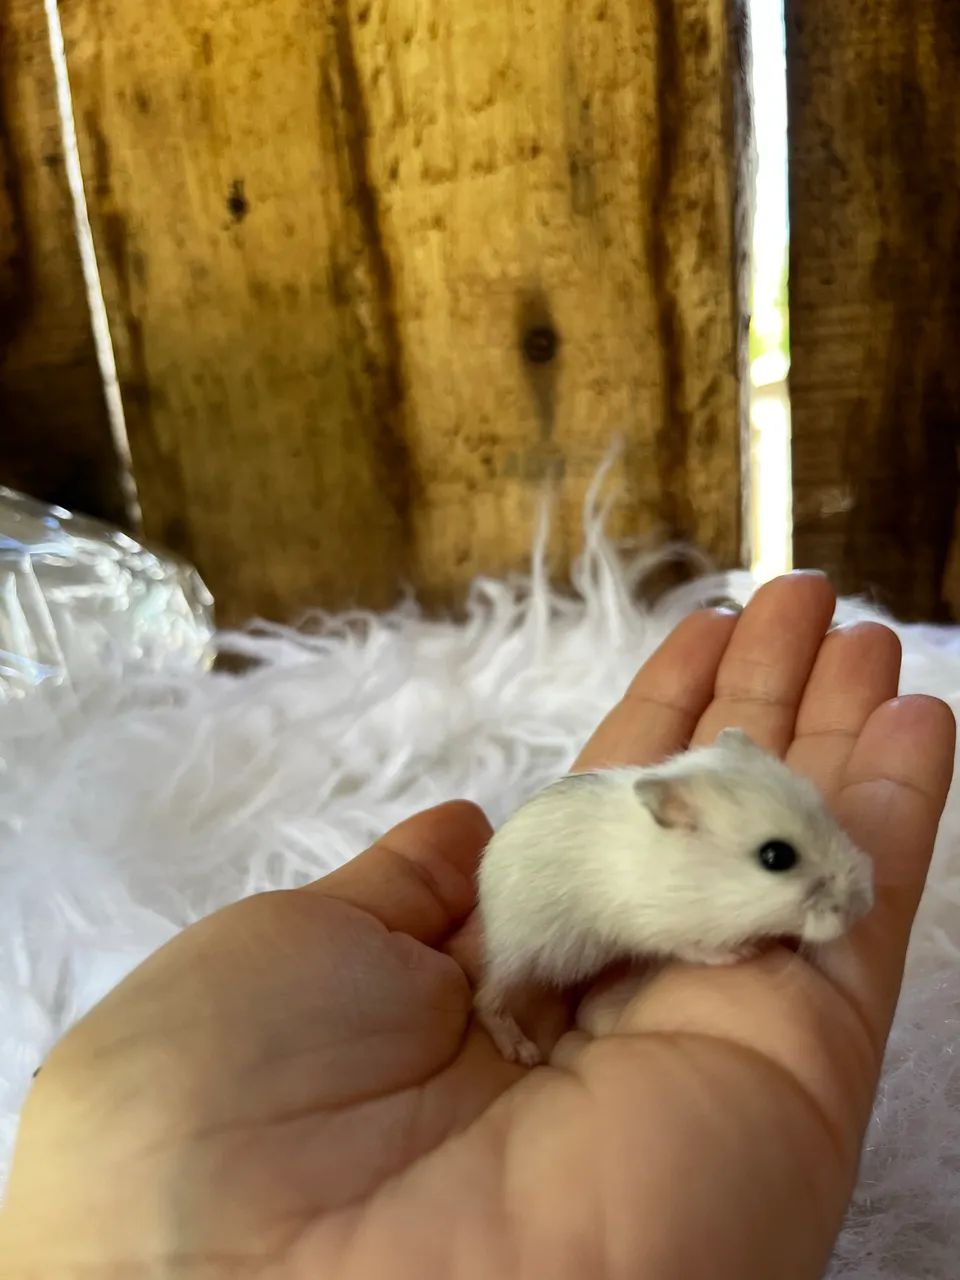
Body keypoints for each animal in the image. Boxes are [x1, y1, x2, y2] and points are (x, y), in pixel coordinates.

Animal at [474, 728, 874, 1064]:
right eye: (776, 856)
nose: (865, 905)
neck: (700, 878)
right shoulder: (658, 927)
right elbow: (696, 949)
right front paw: (741, 954)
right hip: (521, 951)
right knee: (485, 1000)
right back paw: (522, 1051)